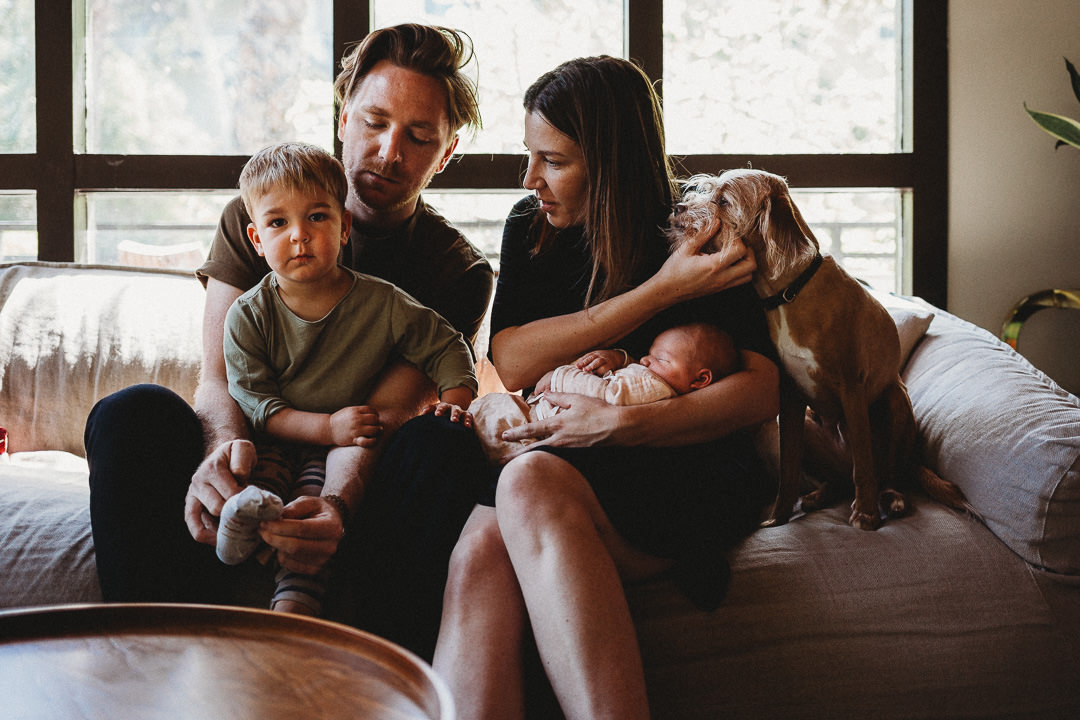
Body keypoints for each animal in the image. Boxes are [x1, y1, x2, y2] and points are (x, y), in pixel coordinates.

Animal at [665, 169, 963, 528]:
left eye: (723, 200)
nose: (678, 208)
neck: (789, 293)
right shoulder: (790, 398)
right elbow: (788, 471)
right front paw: (778, 518)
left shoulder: (851, 387)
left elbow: (863, 464)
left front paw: (866, 513)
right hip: (798, 426)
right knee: (838, 479)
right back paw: (820, 495)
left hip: (894, 401)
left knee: (885, 473)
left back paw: (890, 498)